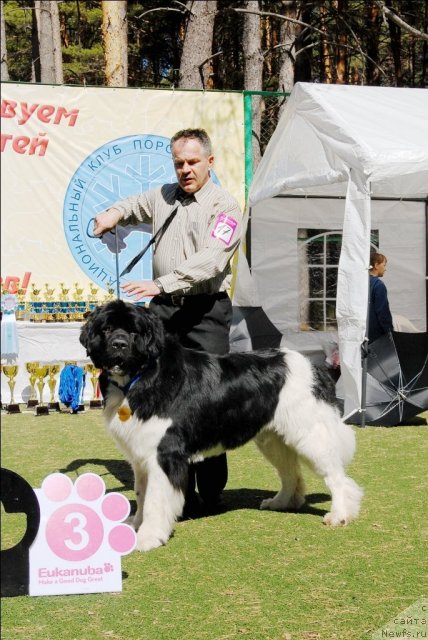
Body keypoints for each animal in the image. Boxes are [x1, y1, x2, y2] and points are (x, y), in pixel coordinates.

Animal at [79, 300, 362, 552]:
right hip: (272, 438)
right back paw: (282, 502)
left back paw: (340, 515)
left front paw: (147, 538)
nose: (119, 344)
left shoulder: (163, 454)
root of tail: (316, 367)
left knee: (336, 477)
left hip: (310, 433)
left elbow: (155, 501)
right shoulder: (140, 454)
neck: (142, 376)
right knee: (290, 472)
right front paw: (135, 525)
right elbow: (141, 492)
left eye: (134, 332)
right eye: (106, 329)